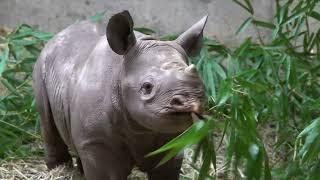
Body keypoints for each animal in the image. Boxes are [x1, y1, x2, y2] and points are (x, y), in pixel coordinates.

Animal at [33, 10, 208, 179]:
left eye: (201, 83)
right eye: (147, 87)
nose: (190, 102)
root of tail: (57, 35)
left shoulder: (171, 138)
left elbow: (165, 169)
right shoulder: (98, 141)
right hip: (42, 65)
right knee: (47, 121)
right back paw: (58, 169)